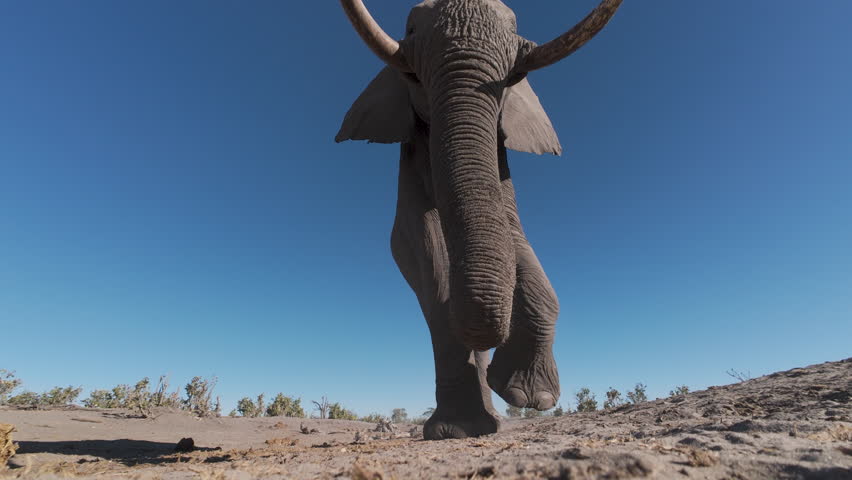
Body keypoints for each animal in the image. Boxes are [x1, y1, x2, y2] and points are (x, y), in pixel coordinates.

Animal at [336, 0, 622, 440]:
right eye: (410, 31)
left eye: (512, 81)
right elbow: (421, 247)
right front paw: (456, 428)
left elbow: (511, 231)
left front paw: (530, 396)